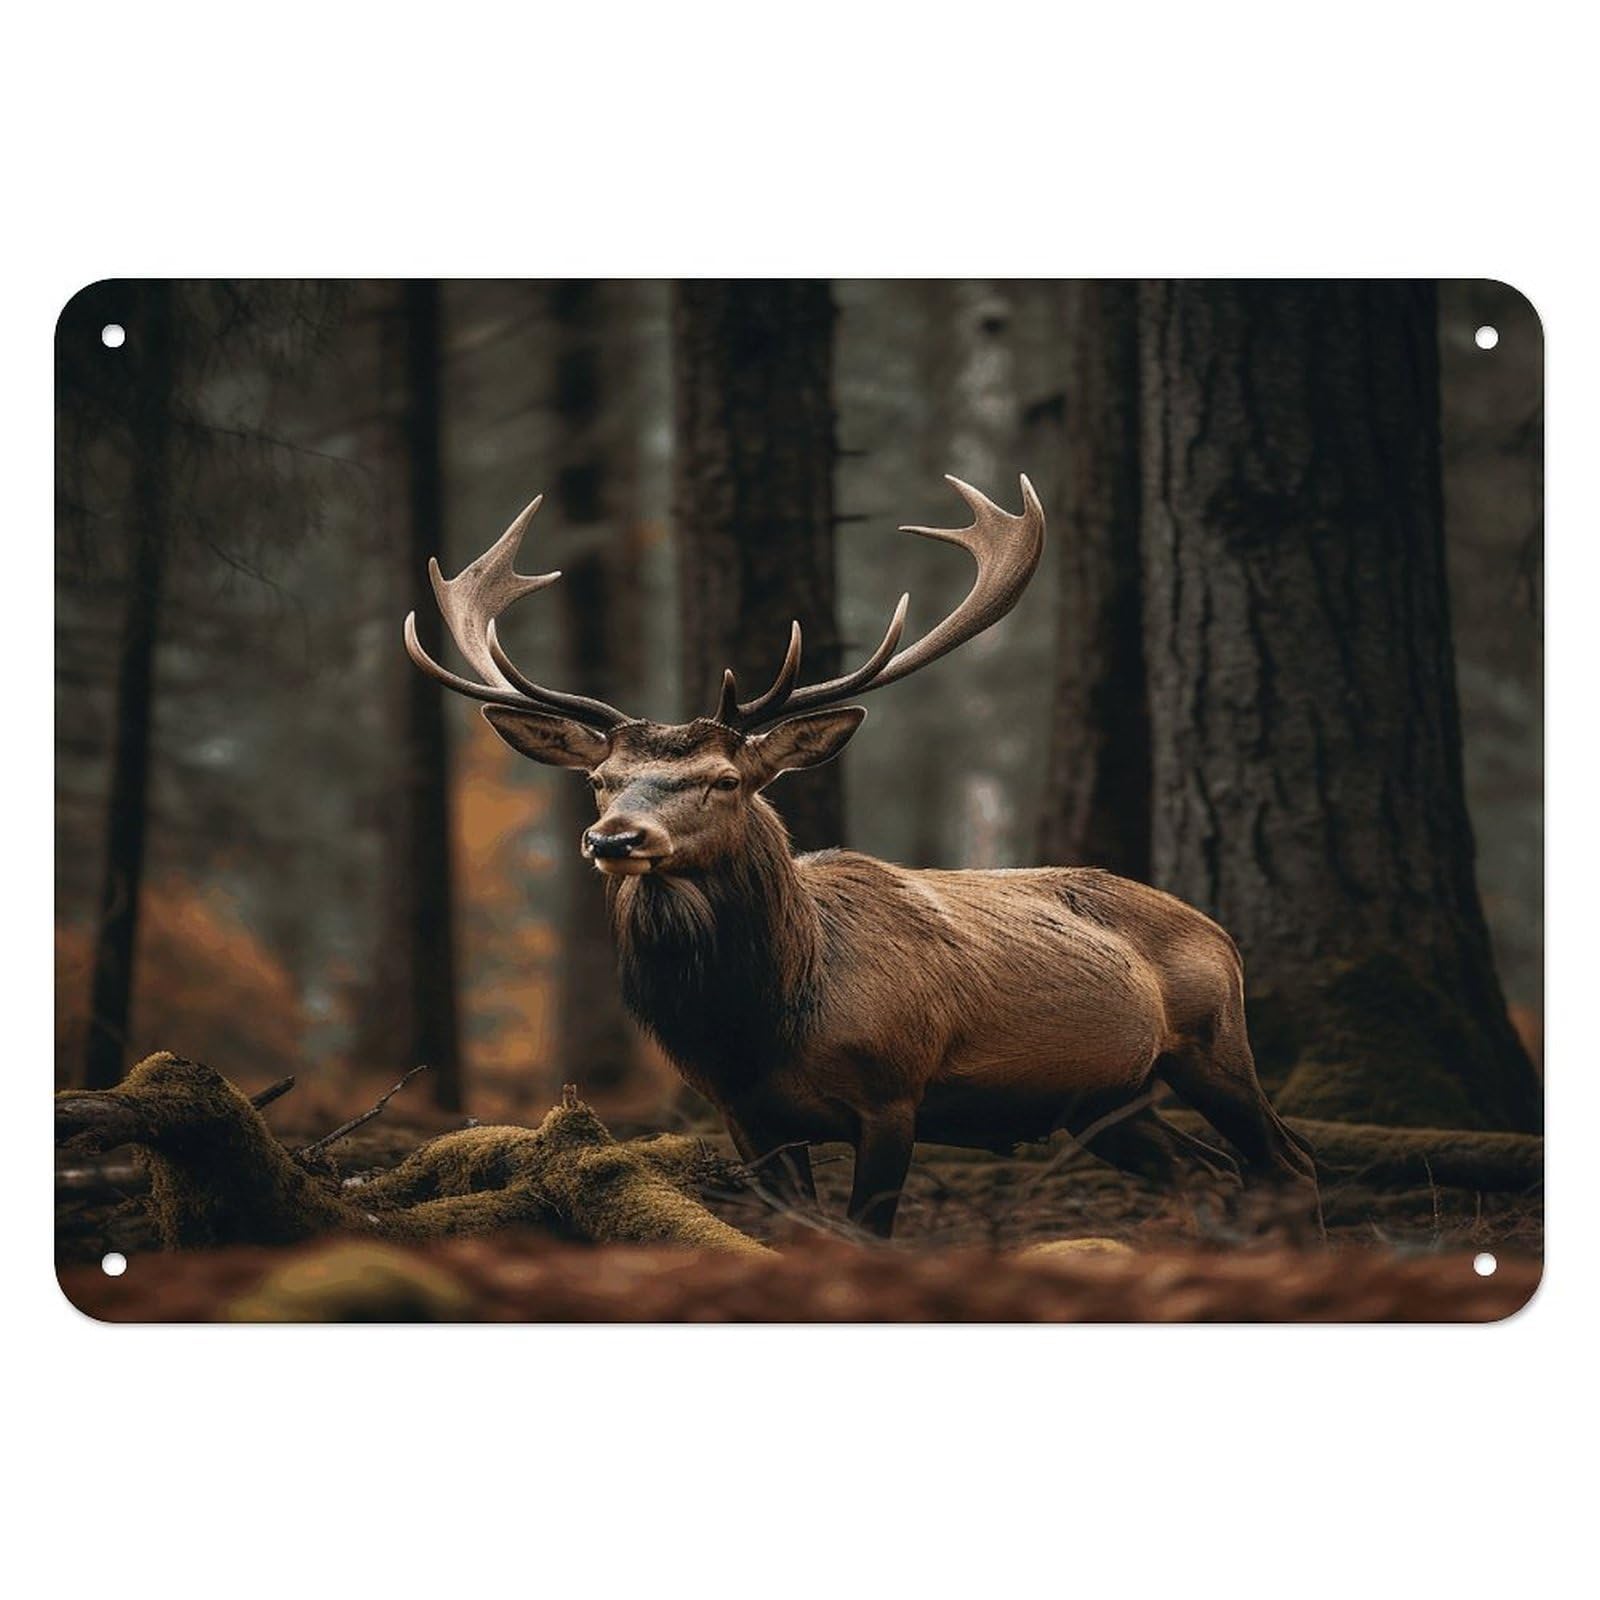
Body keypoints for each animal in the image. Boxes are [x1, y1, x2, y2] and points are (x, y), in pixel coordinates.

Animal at [404, 476, 1322, 1238]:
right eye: (599, 780)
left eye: (726, 779)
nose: (615, 839)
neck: (759, 1023)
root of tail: (1218, 930)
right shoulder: (746, 1118)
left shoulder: (893, 1094)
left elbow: (867, 1234)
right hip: (1105, 1101)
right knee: (1208, 1173)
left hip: (1213, 1043)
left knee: (1287, 1162)